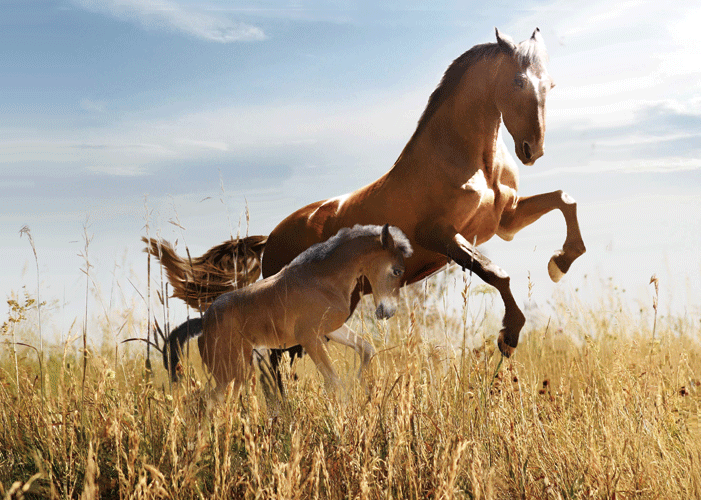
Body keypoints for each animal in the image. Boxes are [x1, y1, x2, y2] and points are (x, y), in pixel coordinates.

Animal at [164, 224, 412, 399]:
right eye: (397, 271)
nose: (387, 311)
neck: (323, 280)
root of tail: (204, 323)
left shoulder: (331, 330)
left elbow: (367, 349)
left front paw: (359, 382)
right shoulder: (310, 337)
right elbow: (334, 381)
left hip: (236, 372)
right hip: (230, 370)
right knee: (205, 401)